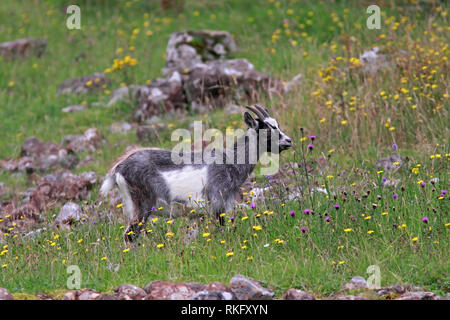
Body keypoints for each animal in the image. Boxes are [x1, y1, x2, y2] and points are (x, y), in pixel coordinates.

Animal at [100, 104, 294, 241]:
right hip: (142, 205)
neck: (231, 161)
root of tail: (119, 168)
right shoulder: (217, 203)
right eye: (267, 128)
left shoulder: (195, 215)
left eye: (277, 125)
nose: (289, 141)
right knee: (130, 235)